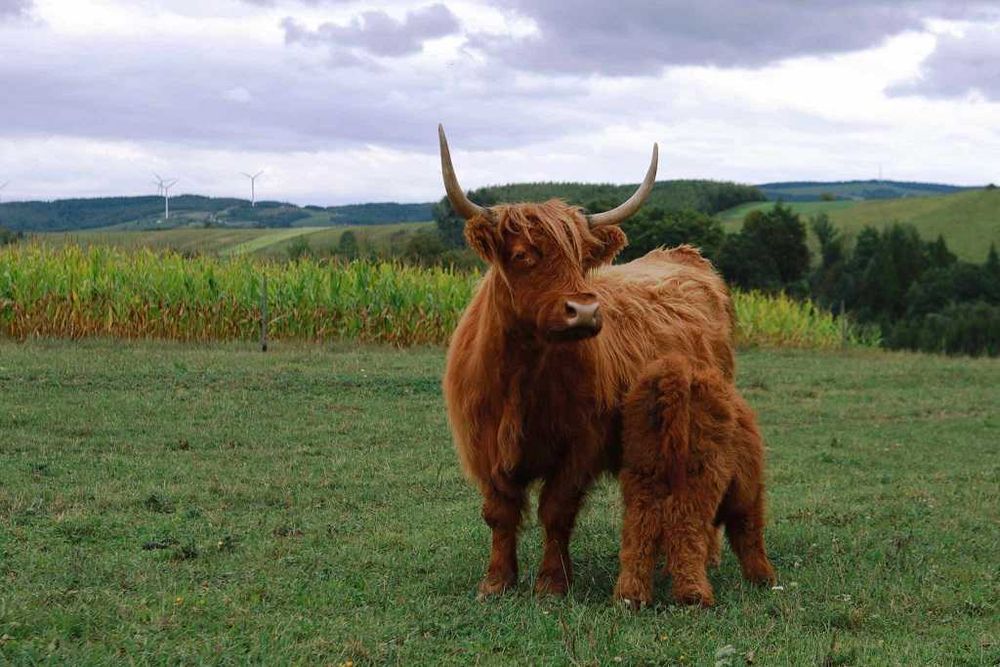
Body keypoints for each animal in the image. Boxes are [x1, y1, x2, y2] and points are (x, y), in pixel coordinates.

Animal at [438, 125, 770, 601]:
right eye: (522, 255)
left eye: (581, 261)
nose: (584, 311)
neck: (521, 377)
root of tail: (683, 252)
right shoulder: (481, 445)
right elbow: (500, 513)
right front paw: (496, 581)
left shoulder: (580, 444)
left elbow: (556, 510)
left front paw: (552, 582)